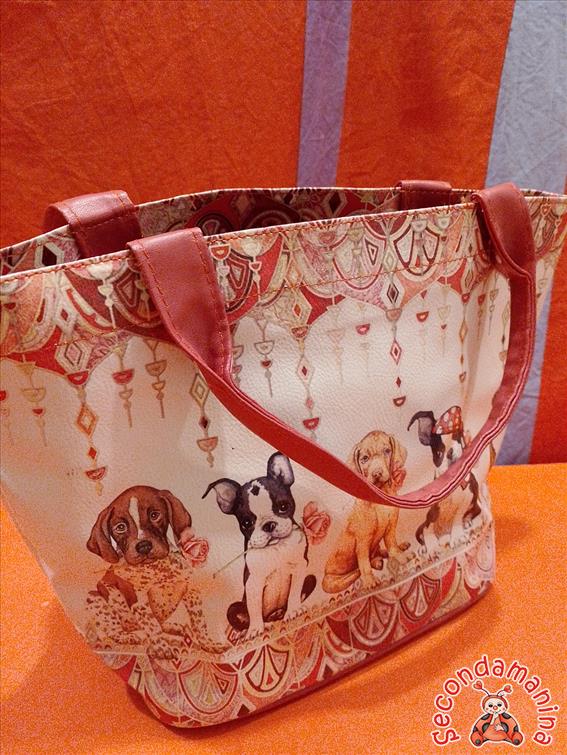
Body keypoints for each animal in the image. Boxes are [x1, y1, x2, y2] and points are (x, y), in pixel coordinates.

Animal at [85, 485, 221, 658]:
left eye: (154, 515)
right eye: (120, 527)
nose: (143, 546)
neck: (158, 567)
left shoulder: (192, 592)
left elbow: (199, 623)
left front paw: (209, 644)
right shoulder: (139, 603)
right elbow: (153, 627)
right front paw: (162, 648)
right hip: (94, 598)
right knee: (116, 631)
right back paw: (133, 636)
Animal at [203, 452, 316, 637]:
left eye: (283, 506)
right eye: (246, 522)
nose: (268, 525)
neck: (276, 548)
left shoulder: (299, 566)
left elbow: (294, 592)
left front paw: (293, 610)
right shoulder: (253, 582)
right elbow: (254, 608)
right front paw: (255, 629)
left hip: (310, 578)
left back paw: (283, 612)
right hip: (234, 607)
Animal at [323, 431, 409, 593]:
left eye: (387, 451)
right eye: (364, 458)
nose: (377, 473)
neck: (380, 493)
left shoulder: (391, 526)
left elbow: (391, 544)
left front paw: (399, 555)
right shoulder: (363, 540)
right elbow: (363, 562)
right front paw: (369, 581)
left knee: (377, 552)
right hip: (332, 583)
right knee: (357, 570)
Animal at [407, 407, 482, 549]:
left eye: (458, 439)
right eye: (438, 453)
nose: (450, 452)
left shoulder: (468, 496)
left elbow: (458, 516)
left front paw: (457, 536)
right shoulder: (434, 507)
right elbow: (429, 526)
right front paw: (431, 545)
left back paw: (466, 522)